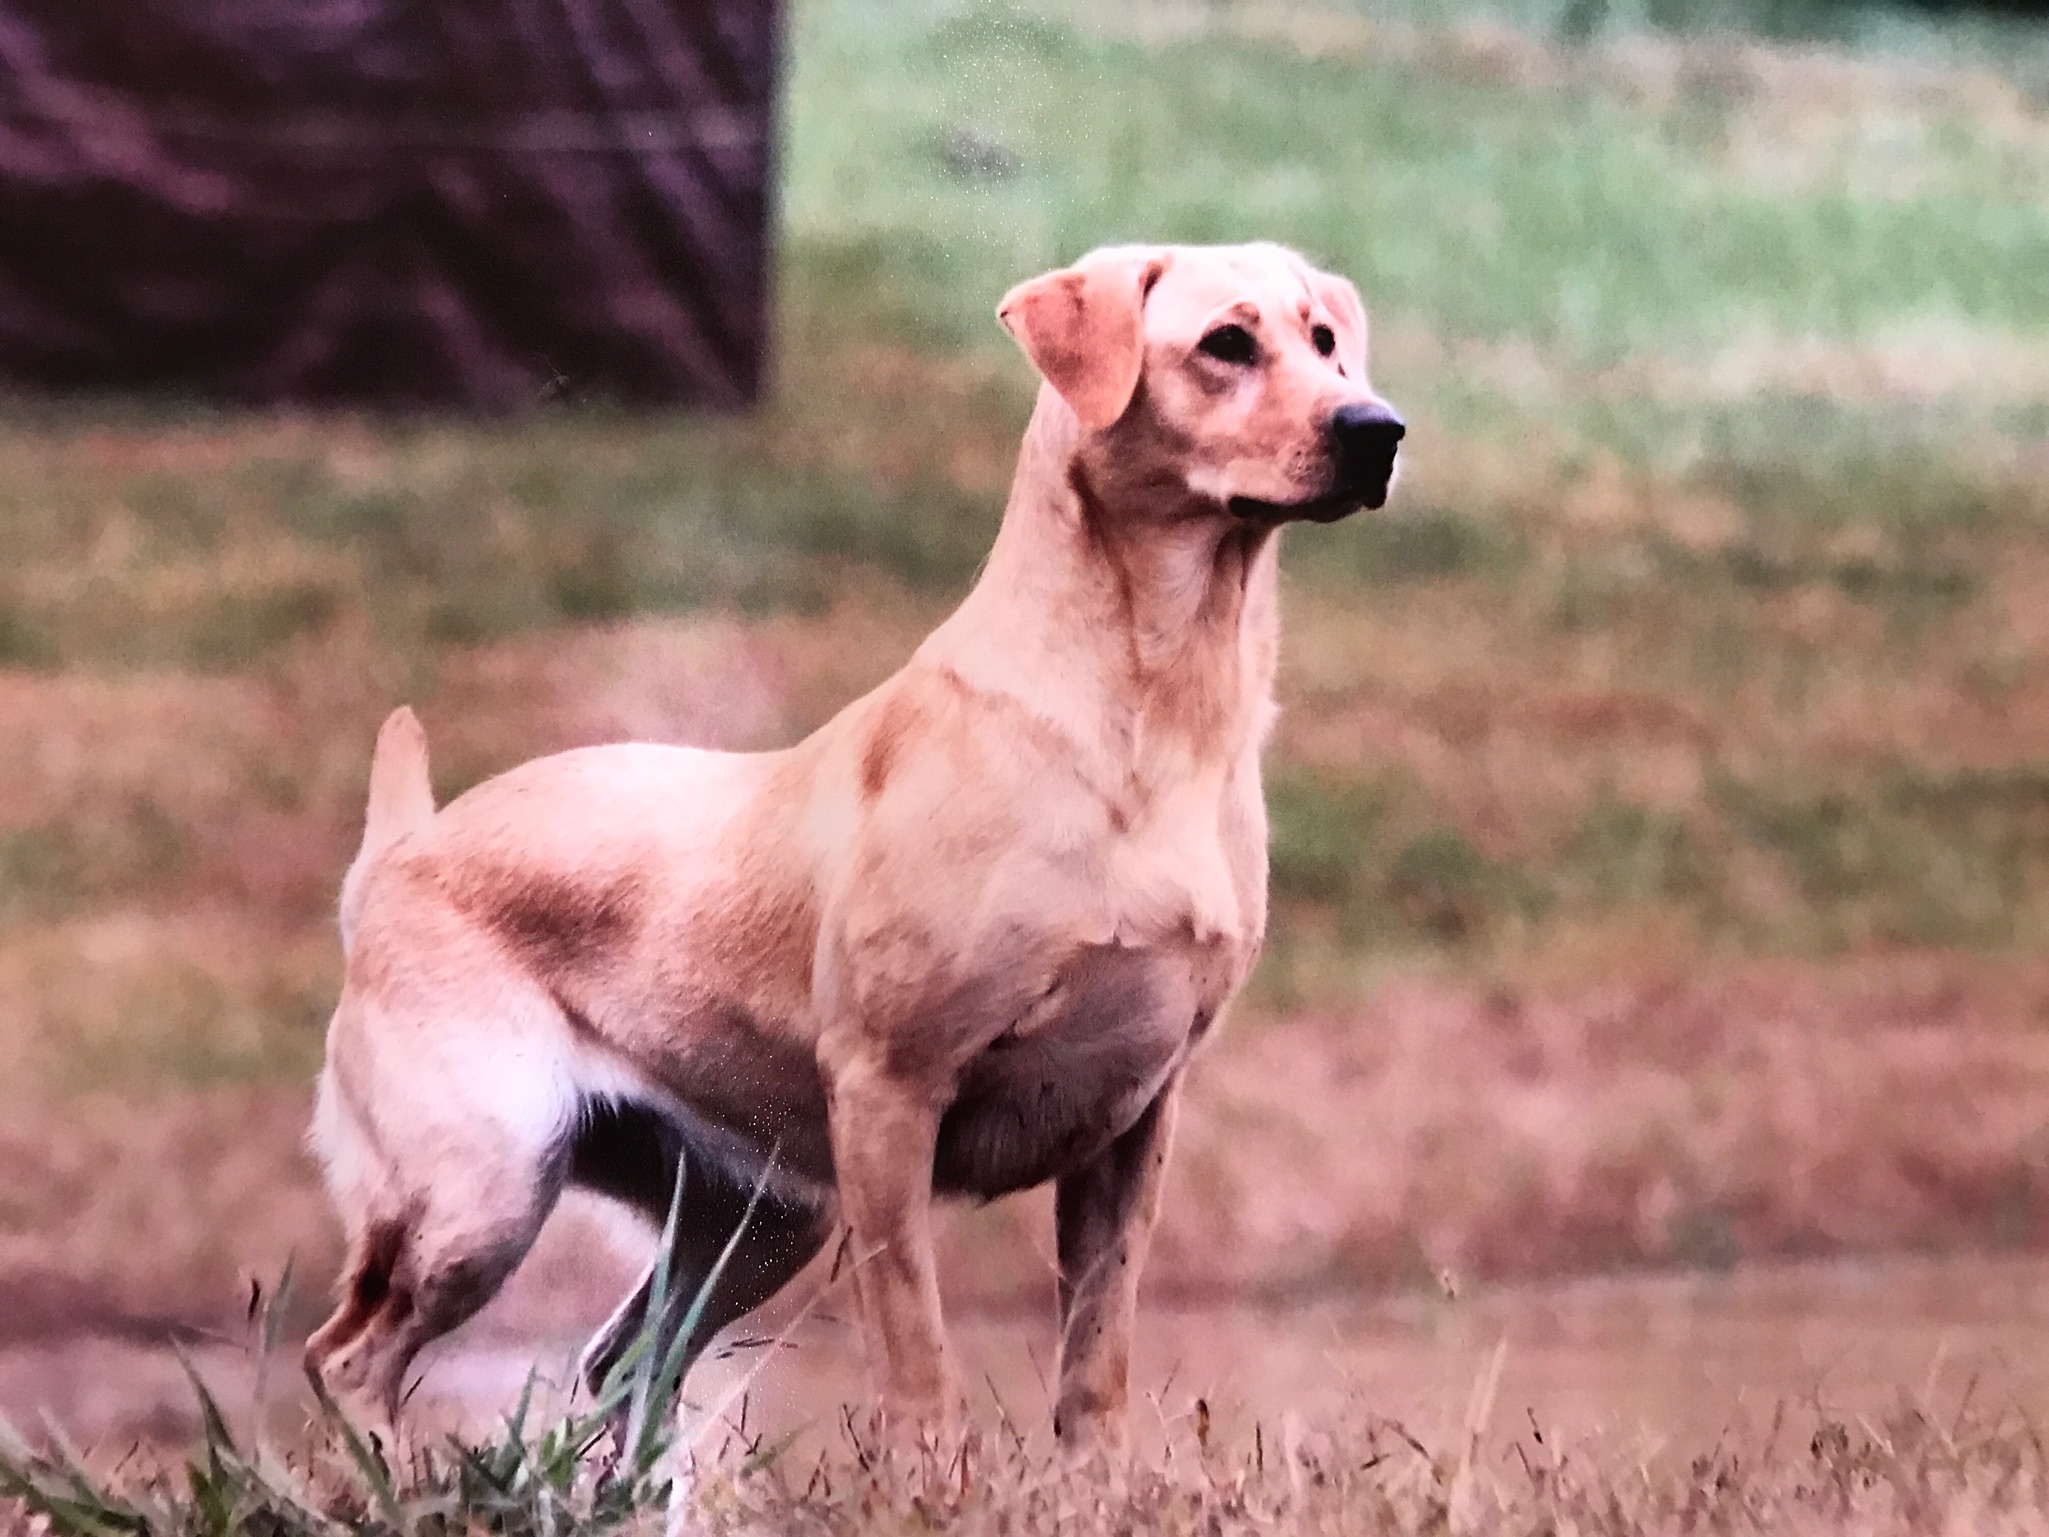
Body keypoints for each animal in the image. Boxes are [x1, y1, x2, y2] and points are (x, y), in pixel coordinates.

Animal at [303, 240, 1401, 1459]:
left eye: (1323, 340)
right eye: (1226, 343)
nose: (1378, 428)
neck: (1152, 717)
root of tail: (401, 852)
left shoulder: (1134, 1121)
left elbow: (1093, 1368)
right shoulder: (888, 1095)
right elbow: (918, 1365)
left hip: (755, 1222)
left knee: (621, 1366)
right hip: (485, 1183)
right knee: (350, 1355)